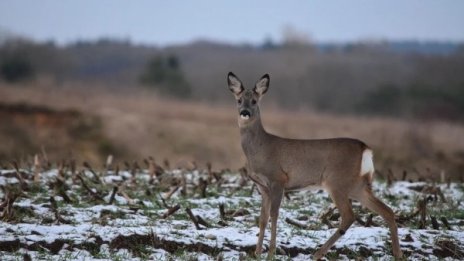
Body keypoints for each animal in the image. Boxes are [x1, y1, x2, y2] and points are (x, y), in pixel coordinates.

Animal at [228, 71, 402, 258]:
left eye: (254, 100)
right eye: (239, 100)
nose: (245, 112)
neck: (261, 148)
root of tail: (365, 149)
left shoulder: (278, 179)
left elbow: (274, 215)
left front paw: (271, 253)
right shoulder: (263, 186)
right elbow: (262, 218)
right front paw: (257, 253)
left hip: (337, 181)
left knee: (349, 215)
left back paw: (318, 254)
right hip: (358, 185)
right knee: (387, 210)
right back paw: (398, 254)